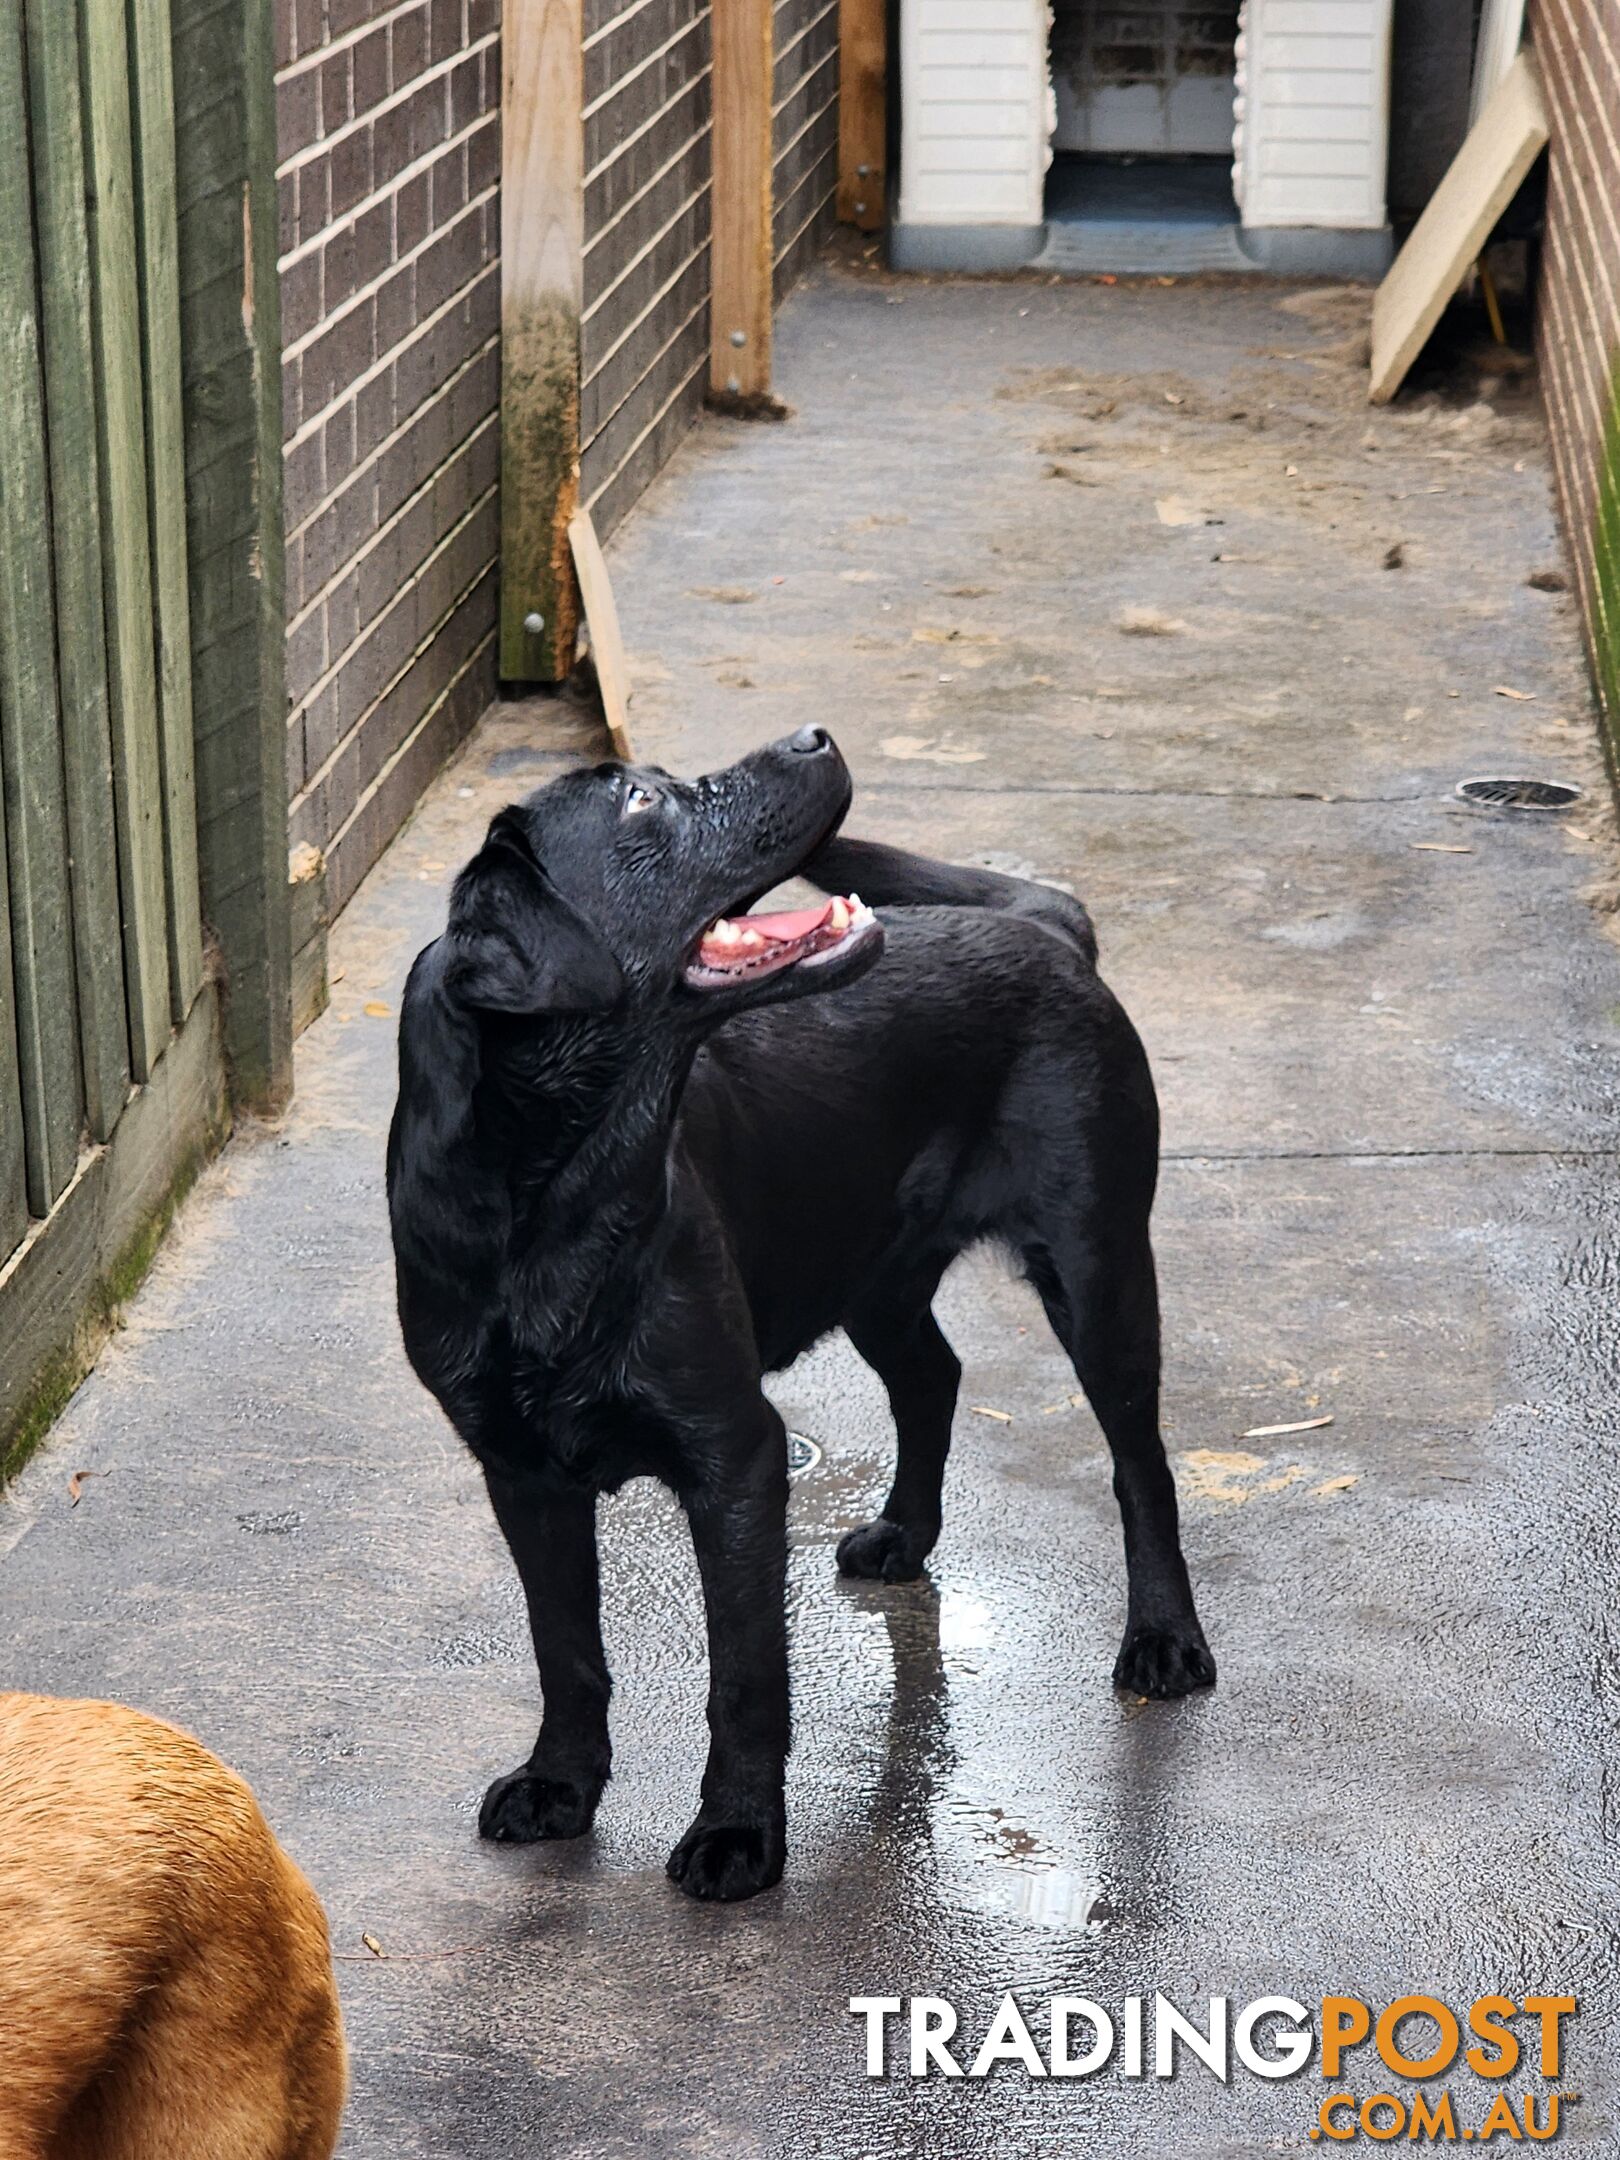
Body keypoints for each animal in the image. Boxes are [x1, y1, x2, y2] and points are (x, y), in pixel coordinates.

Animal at [386, 730, 1209, 1909]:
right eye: (638, 802)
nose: (812, 736)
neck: (559, 1194)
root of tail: (1048, 925)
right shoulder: (520, 1471)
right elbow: (566, 1649)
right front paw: (562, 1785)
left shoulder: (734, 1451)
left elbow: (744, 1672)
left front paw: (736, 1834)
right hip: (874, 1276)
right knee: (933, 1378)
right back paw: (905, 1533)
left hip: (1096, 1267)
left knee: (1140, 1463)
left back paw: (1165, 1640)